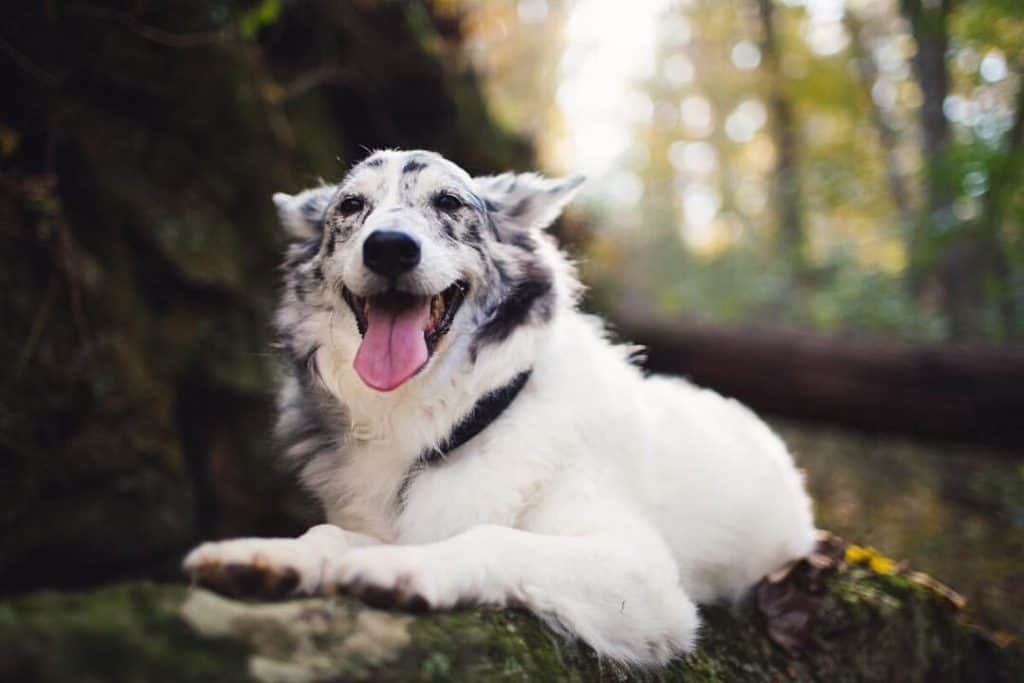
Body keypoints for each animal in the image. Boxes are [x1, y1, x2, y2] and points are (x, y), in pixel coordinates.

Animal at [184, 150, 815, 667]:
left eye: (448, 201)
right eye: (351, 206)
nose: (389, 247)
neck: (442, 421)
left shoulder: (643, 577)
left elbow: (491, 538)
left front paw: (404, 570)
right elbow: (326, 534)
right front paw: (269, 554)